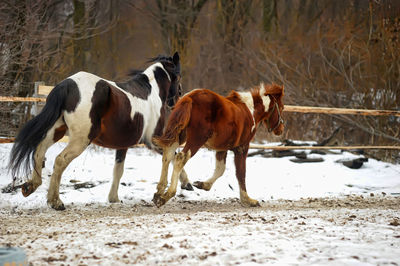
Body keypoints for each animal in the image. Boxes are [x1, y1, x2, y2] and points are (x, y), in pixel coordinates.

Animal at [9, 52, 190, 210]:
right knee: (60, 160)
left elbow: (118, 170)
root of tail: (67, 86)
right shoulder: (152, 140)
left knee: (39, 150)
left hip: (57, 131)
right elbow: (172, 155)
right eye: (179, 75)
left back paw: (30, 186)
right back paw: (55, 202)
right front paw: (185, 185)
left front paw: (114, 198)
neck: (151, 93)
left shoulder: (123, 145)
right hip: (81, 139)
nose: (178, 98)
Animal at [151, 84, 284, 207]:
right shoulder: (242, 148)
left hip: (179, 135)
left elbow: (220, 169)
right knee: (180, 158)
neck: (250, 112)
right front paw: (247, 199)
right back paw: (166, 195)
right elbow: (241, 173)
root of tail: (190, 97)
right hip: (196, 139)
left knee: (168, 155)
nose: (280, 129)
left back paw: (159, 193)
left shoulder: (222, 148)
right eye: (281, 108)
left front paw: (202, 184)